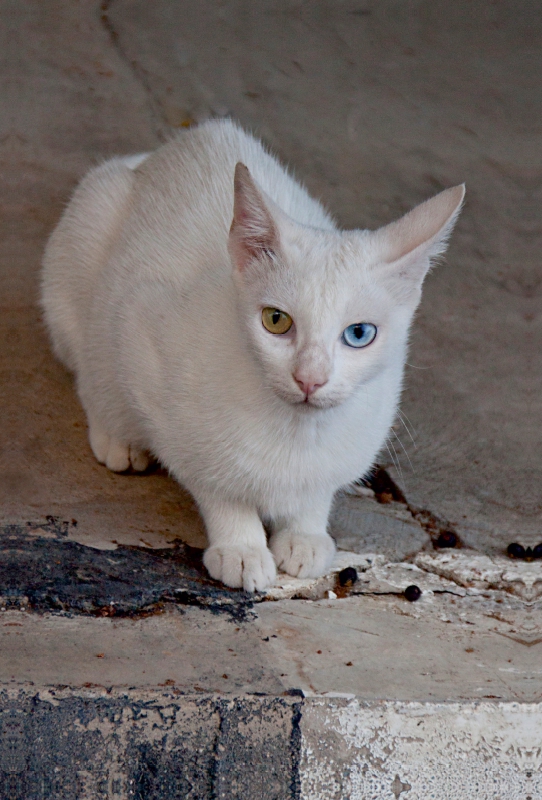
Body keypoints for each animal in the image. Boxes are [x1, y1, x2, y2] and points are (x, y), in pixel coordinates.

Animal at [42, 122, 466, 592]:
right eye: (276, 320)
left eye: (359, 334)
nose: (310, 378)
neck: (297, 433)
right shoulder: (140, 333)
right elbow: (212, 480)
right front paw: (240, 545)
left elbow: (317, 491)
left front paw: (304, 533)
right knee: (89, 359)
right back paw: (117, 436)